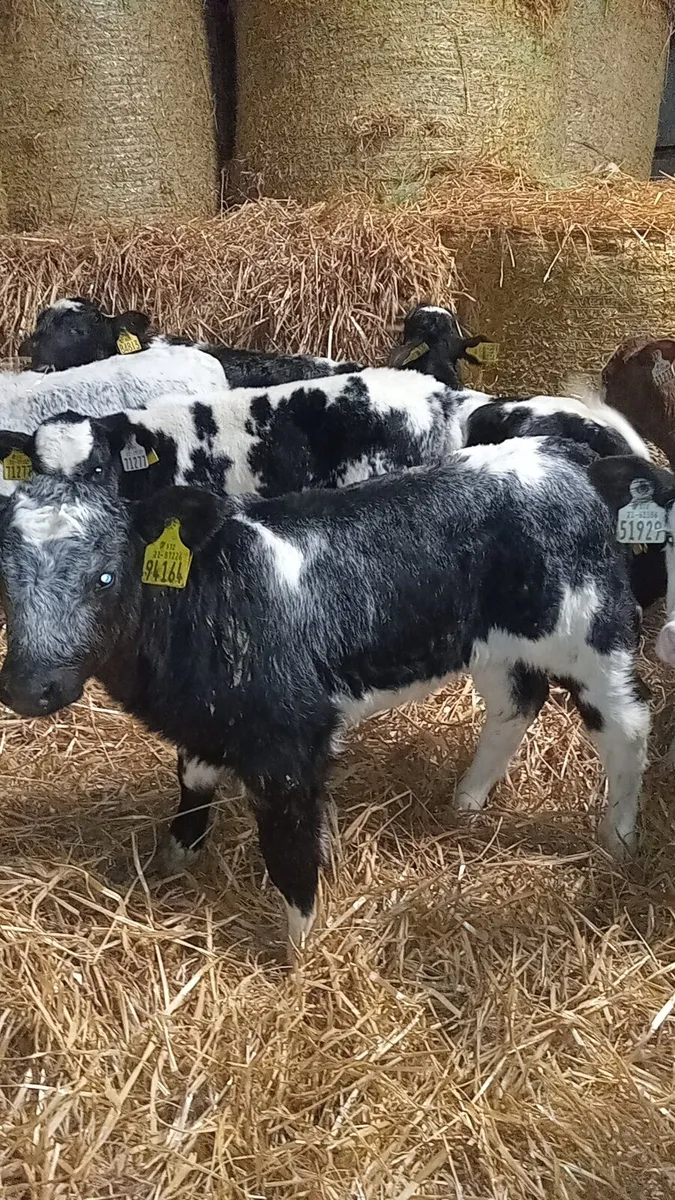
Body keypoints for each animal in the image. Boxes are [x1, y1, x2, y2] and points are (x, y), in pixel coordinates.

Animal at [0, 437, 651, 953]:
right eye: (4, 584)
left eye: (106, 577)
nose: (31, 689)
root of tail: (572, 459)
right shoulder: (208, 720)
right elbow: (193, 788)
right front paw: (172, 865)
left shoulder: (289, 745)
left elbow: (289, 852)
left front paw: (296, 956)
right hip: (487, 643)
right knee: (517, 702)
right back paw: (466, 803)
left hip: (592, 634)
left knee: (627, 726)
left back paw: (617, 840)